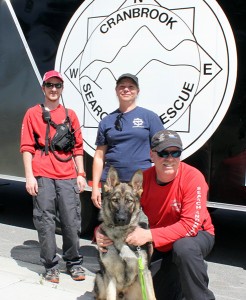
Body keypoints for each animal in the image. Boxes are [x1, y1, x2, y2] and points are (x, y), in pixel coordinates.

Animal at [93, 166, 156, 300]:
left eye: (129, 201)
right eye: (115, 200)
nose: (121, 219)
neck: (121, 235)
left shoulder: (145, 273)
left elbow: (152, 296)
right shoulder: (109, 275)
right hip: (100, 279)